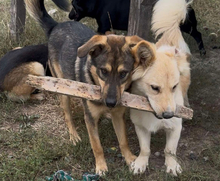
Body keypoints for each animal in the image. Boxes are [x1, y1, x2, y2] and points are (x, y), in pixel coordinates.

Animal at [24, 0, 155, 175]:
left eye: (123, 74)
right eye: (103, 71)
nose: (110, 103)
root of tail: (56, 25)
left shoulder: (118, 115)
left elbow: (123, 140)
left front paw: (130, 159)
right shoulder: (90, 119)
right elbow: (96, 145)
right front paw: (101, 166)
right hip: (63, 89)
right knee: (67, 115)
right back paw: (73, 135)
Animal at [69, 0, 206, 55]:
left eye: (73, 5)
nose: (69, 15)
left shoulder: (103, 27)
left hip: (186, 26)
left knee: (198, 34)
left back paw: (202, 52)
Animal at [131, 0, 191, 176]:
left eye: (174, 87)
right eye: (154, 88)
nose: (169, 114)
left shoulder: (176, 128)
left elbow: (169, 150)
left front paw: (172, 165)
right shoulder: (140, 126)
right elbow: (145, 149)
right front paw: (141, 163)